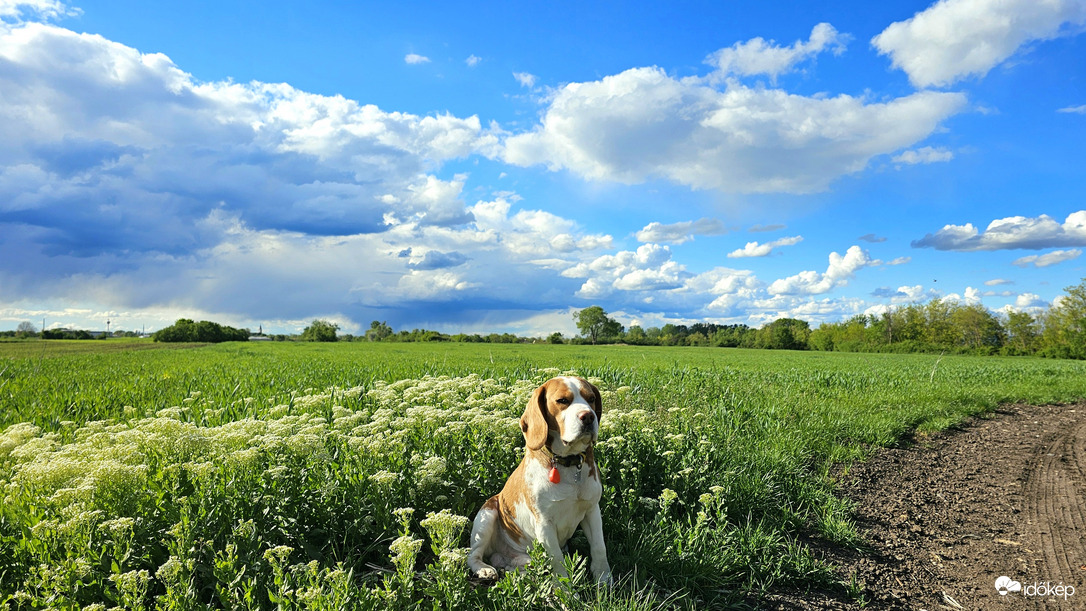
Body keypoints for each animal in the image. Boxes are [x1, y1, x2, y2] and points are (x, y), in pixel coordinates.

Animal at [466, 375, 612, 586]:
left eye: (591, 398)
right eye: (562, 401)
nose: (588, 416)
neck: (568, 464)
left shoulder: (592, 510)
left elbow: (599, 548)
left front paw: (604, 580)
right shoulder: (544, 523)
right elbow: (557, 561)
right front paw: (565, 591)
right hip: (487, 513)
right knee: (473, 555)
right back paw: (484, 569)